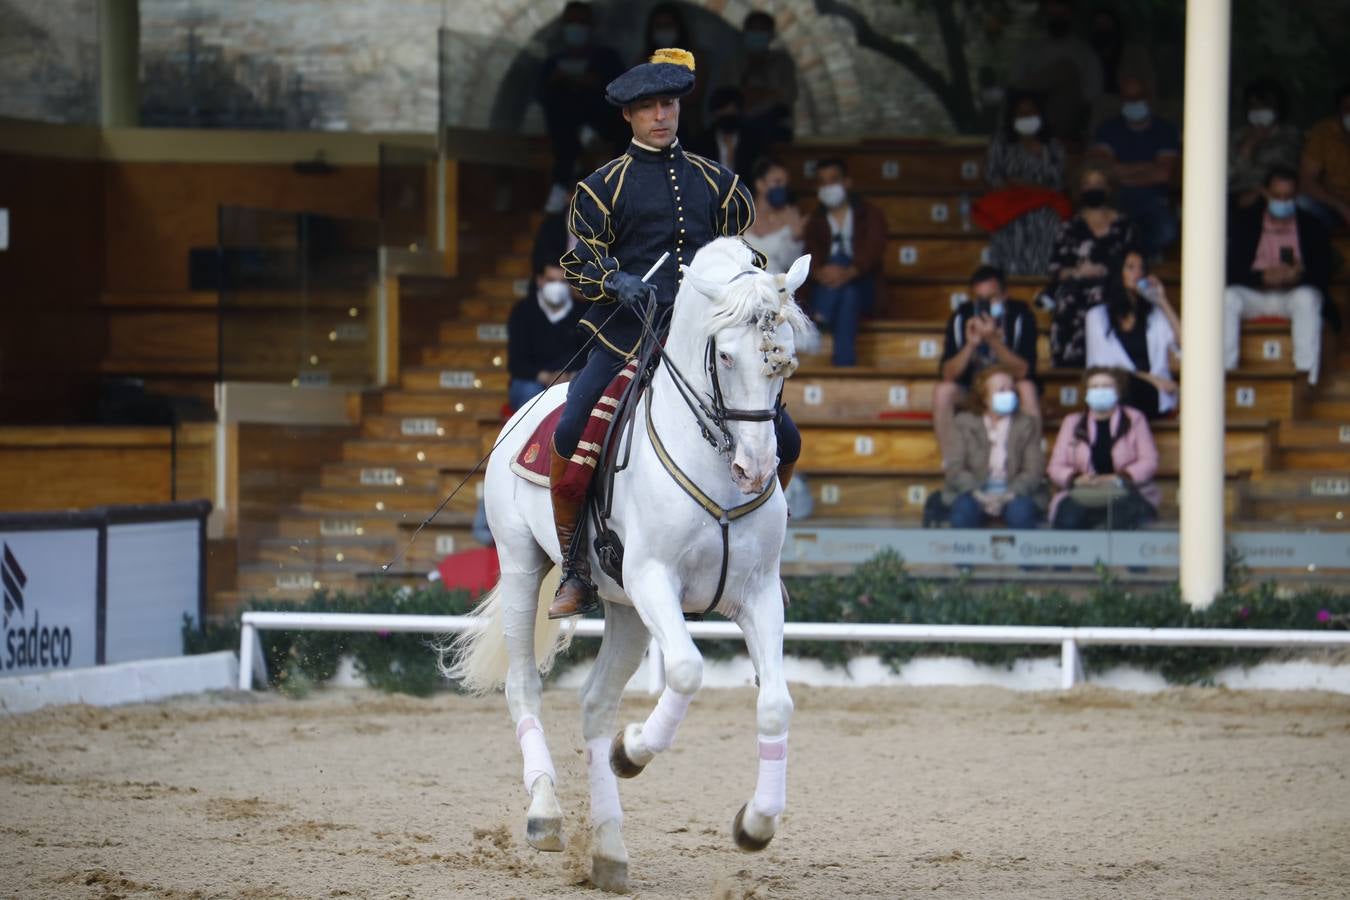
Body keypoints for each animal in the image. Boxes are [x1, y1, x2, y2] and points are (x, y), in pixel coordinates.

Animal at [448, 237, 815, 895]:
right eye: (725, 354)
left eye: (785, 360)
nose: (754, 470)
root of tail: (531, 405)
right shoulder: (654, 580)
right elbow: (689, 672)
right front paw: (633, 751)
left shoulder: (757, 595)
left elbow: (776, 701)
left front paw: (756, 823)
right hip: (523, 566)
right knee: (524, 685)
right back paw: (546, 814)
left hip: (627, 611)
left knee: (595, 705)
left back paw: (610, 851)